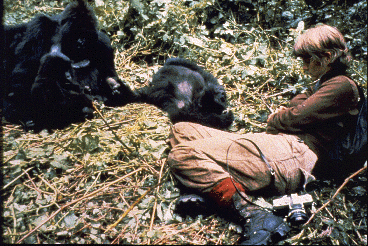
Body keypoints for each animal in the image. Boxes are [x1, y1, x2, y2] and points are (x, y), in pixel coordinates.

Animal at [1, 0, 137, 132]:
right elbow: (24, 71)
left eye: (86, 35)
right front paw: (26, 114)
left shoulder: (103, 42)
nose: (81, 42)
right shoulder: (39, 26)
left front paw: (114, 87)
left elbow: (109, 75)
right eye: (76, 34)